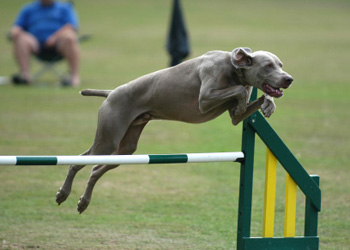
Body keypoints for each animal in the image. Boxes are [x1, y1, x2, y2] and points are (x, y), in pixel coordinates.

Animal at [56, 47, 292, 213]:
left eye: (281, 64)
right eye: (268, 65)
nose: (289, 79)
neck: (233, 68)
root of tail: (111, 92)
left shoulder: (235, 116)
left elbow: (246, 103)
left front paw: (268, 104)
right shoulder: (205, 98)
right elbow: (240, 92)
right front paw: (252, 101)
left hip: (126, 148)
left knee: (96, 169)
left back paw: (83, 202)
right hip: (108, 140)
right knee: (77, 162)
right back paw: (63, 193)